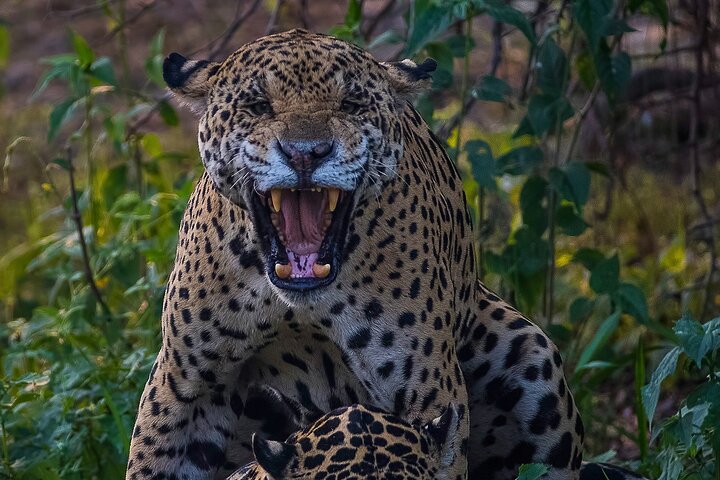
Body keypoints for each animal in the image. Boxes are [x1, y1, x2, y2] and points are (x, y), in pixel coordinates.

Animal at [127, 28, 585, 480]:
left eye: (350, 105)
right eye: (258, 106)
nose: (305, 152)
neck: (300, 307)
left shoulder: (429, 392)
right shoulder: (186, 383)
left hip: (530, 356)